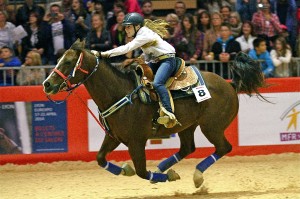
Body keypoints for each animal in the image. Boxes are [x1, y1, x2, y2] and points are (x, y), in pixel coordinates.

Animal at [42, 39, 268, 188]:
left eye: (68, 62)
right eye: (59, 59)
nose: (47, 84)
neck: (120, 92)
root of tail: (230, 84)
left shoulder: (136, 142)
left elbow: (142, 172)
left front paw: (170, 176)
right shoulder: (114, 137)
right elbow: (100, 158)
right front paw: (126, 170)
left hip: (212, 126)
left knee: (223, 147)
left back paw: (195, 175)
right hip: (187, 126)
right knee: (188, 148)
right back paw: (162, 167)